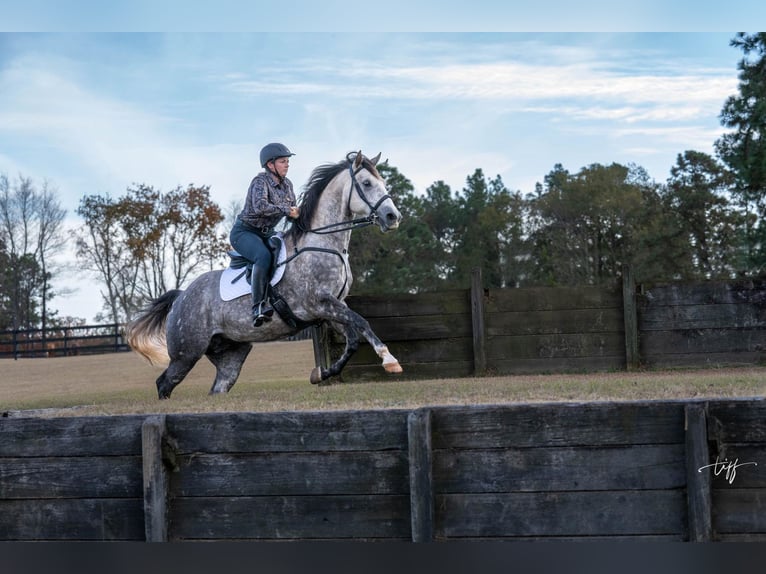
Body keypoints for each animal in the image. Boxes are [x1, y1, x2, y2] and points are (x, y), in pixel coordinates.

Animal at [126, 151, 404, 400]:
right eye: (366, 184)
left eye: (383, 183)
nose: (393, 217)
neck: (323, 243)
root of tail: (181, 296)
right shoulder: (320, 303)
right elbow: (362, 322)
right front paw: (390, 360)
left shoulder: (331, 308)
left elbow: (353, 338)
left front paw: (320, 374)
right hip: (186, 352)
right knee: (164, 383)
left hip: (230, 354)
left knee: (218, 385)